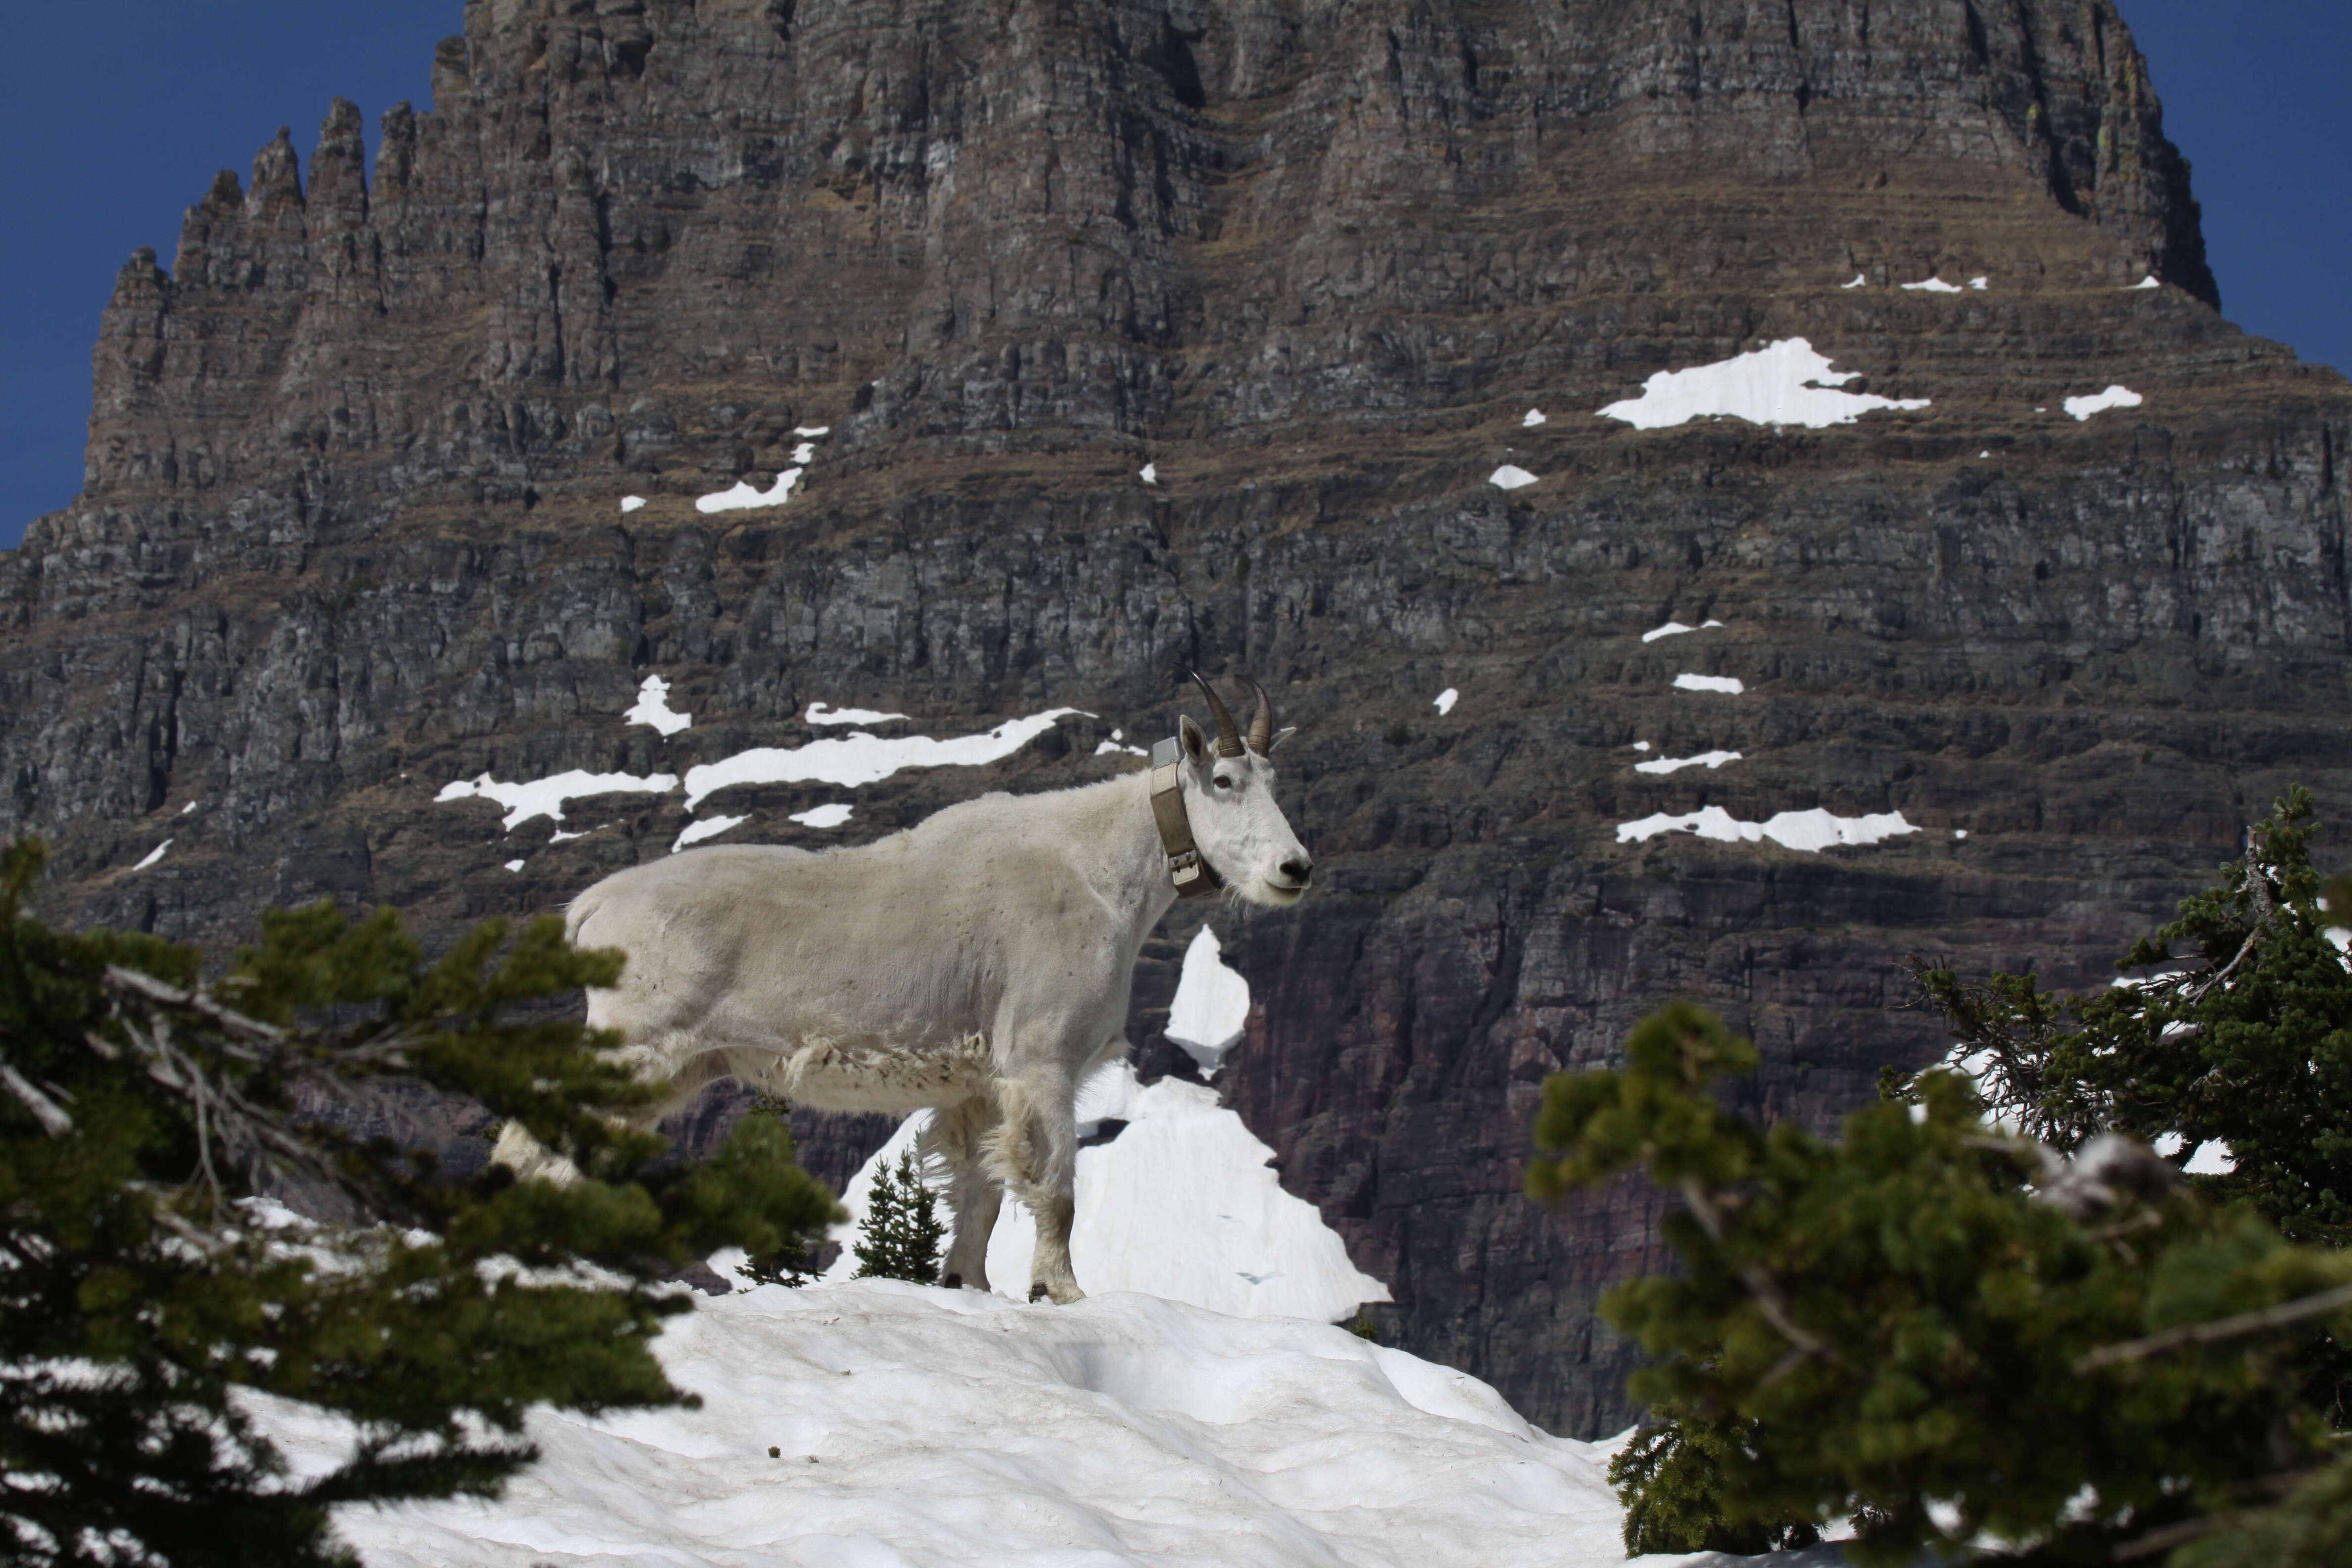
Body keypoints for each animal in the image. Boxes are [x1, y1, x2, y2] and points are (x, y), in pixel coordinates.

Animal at [493, 677, 1317, 1297]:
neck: (1105, 871)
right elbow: (1055, 1188)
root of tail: (589, 910)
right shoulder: (1043, 1058)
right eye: (1223, 780)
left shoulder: (981, 1082)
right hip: (638, 1044)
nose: (1295, 869)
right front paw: (1062, 1292)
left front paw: (966, 1286)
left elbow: (979, 1193)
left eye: (1276, 781)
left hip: (677, 1064)